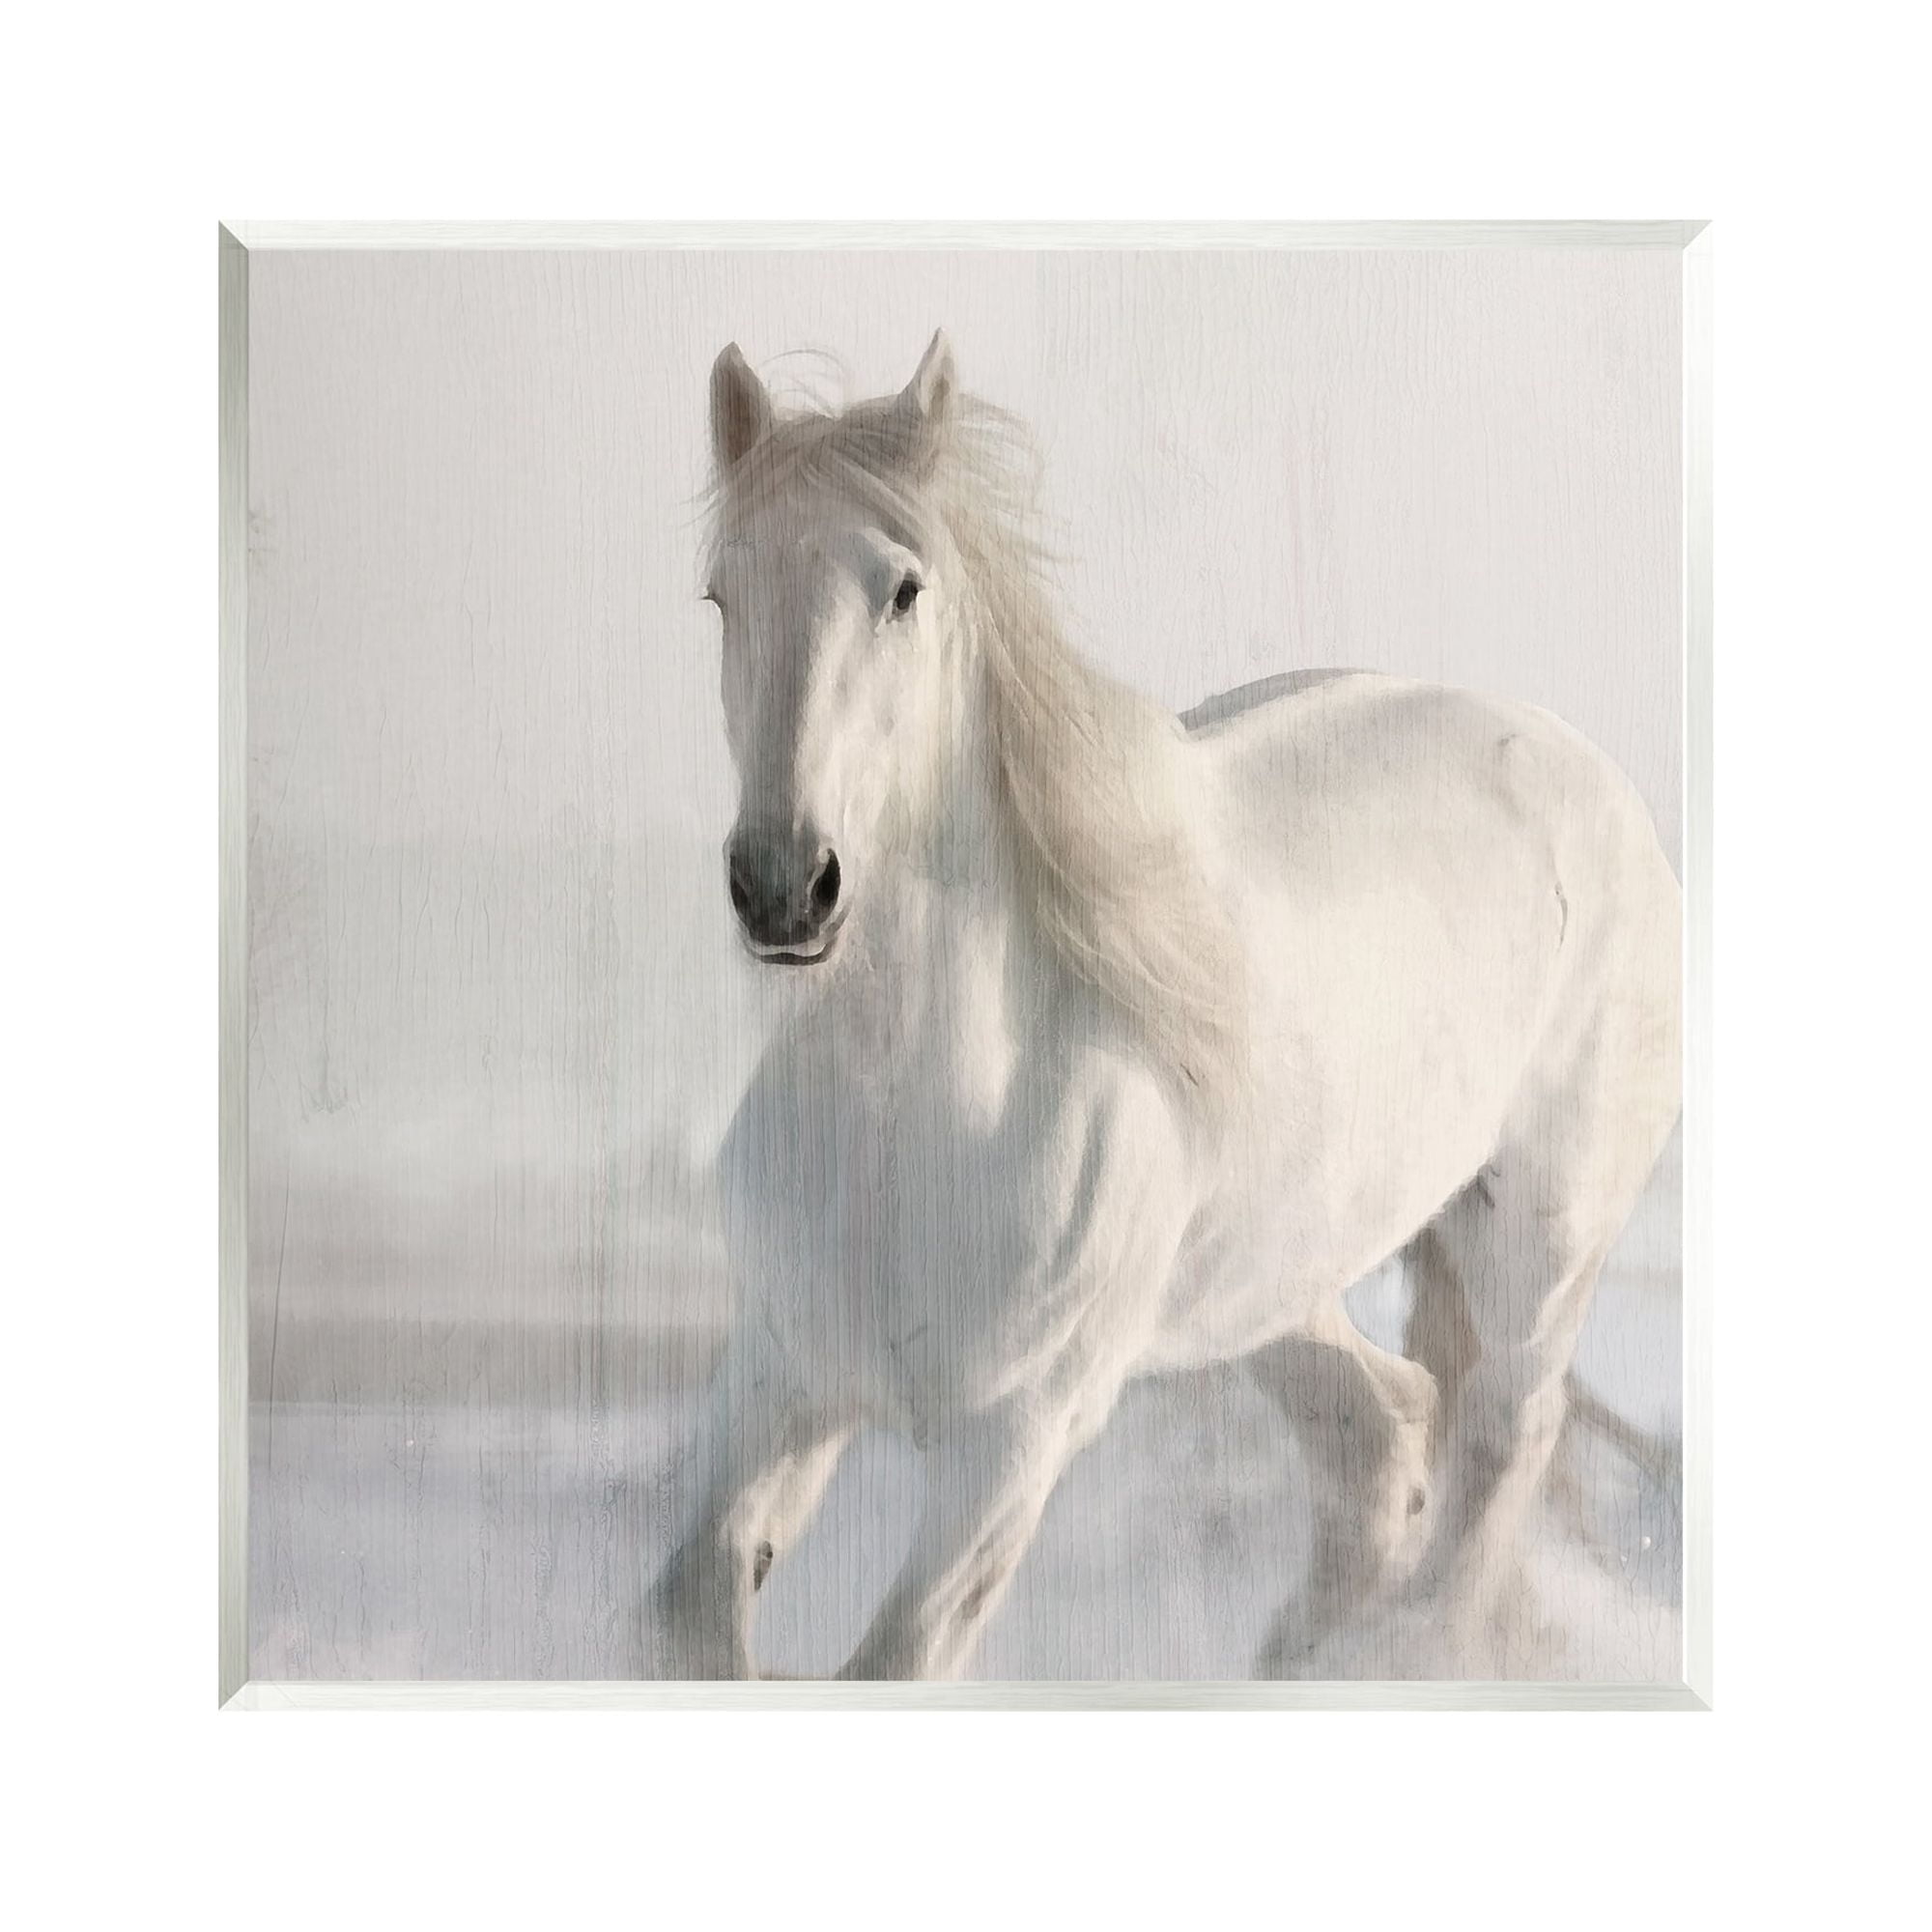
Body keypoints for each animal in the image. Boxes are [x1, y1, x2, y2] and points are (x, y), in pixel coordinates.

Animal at [646, 330, 1682, 1681]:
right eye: (722, 595)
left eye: (903, 590)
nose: (782, 885)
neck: (910, 1122)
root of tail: (1587, 773)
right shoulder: (778, 1379)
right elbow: (689, 1607)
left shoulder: (1007, 1449)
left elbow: (893, 1659)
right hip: (1271, 1282)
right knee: (1379, 1435)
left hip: (1538, 1244)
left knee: (1504, 1433)